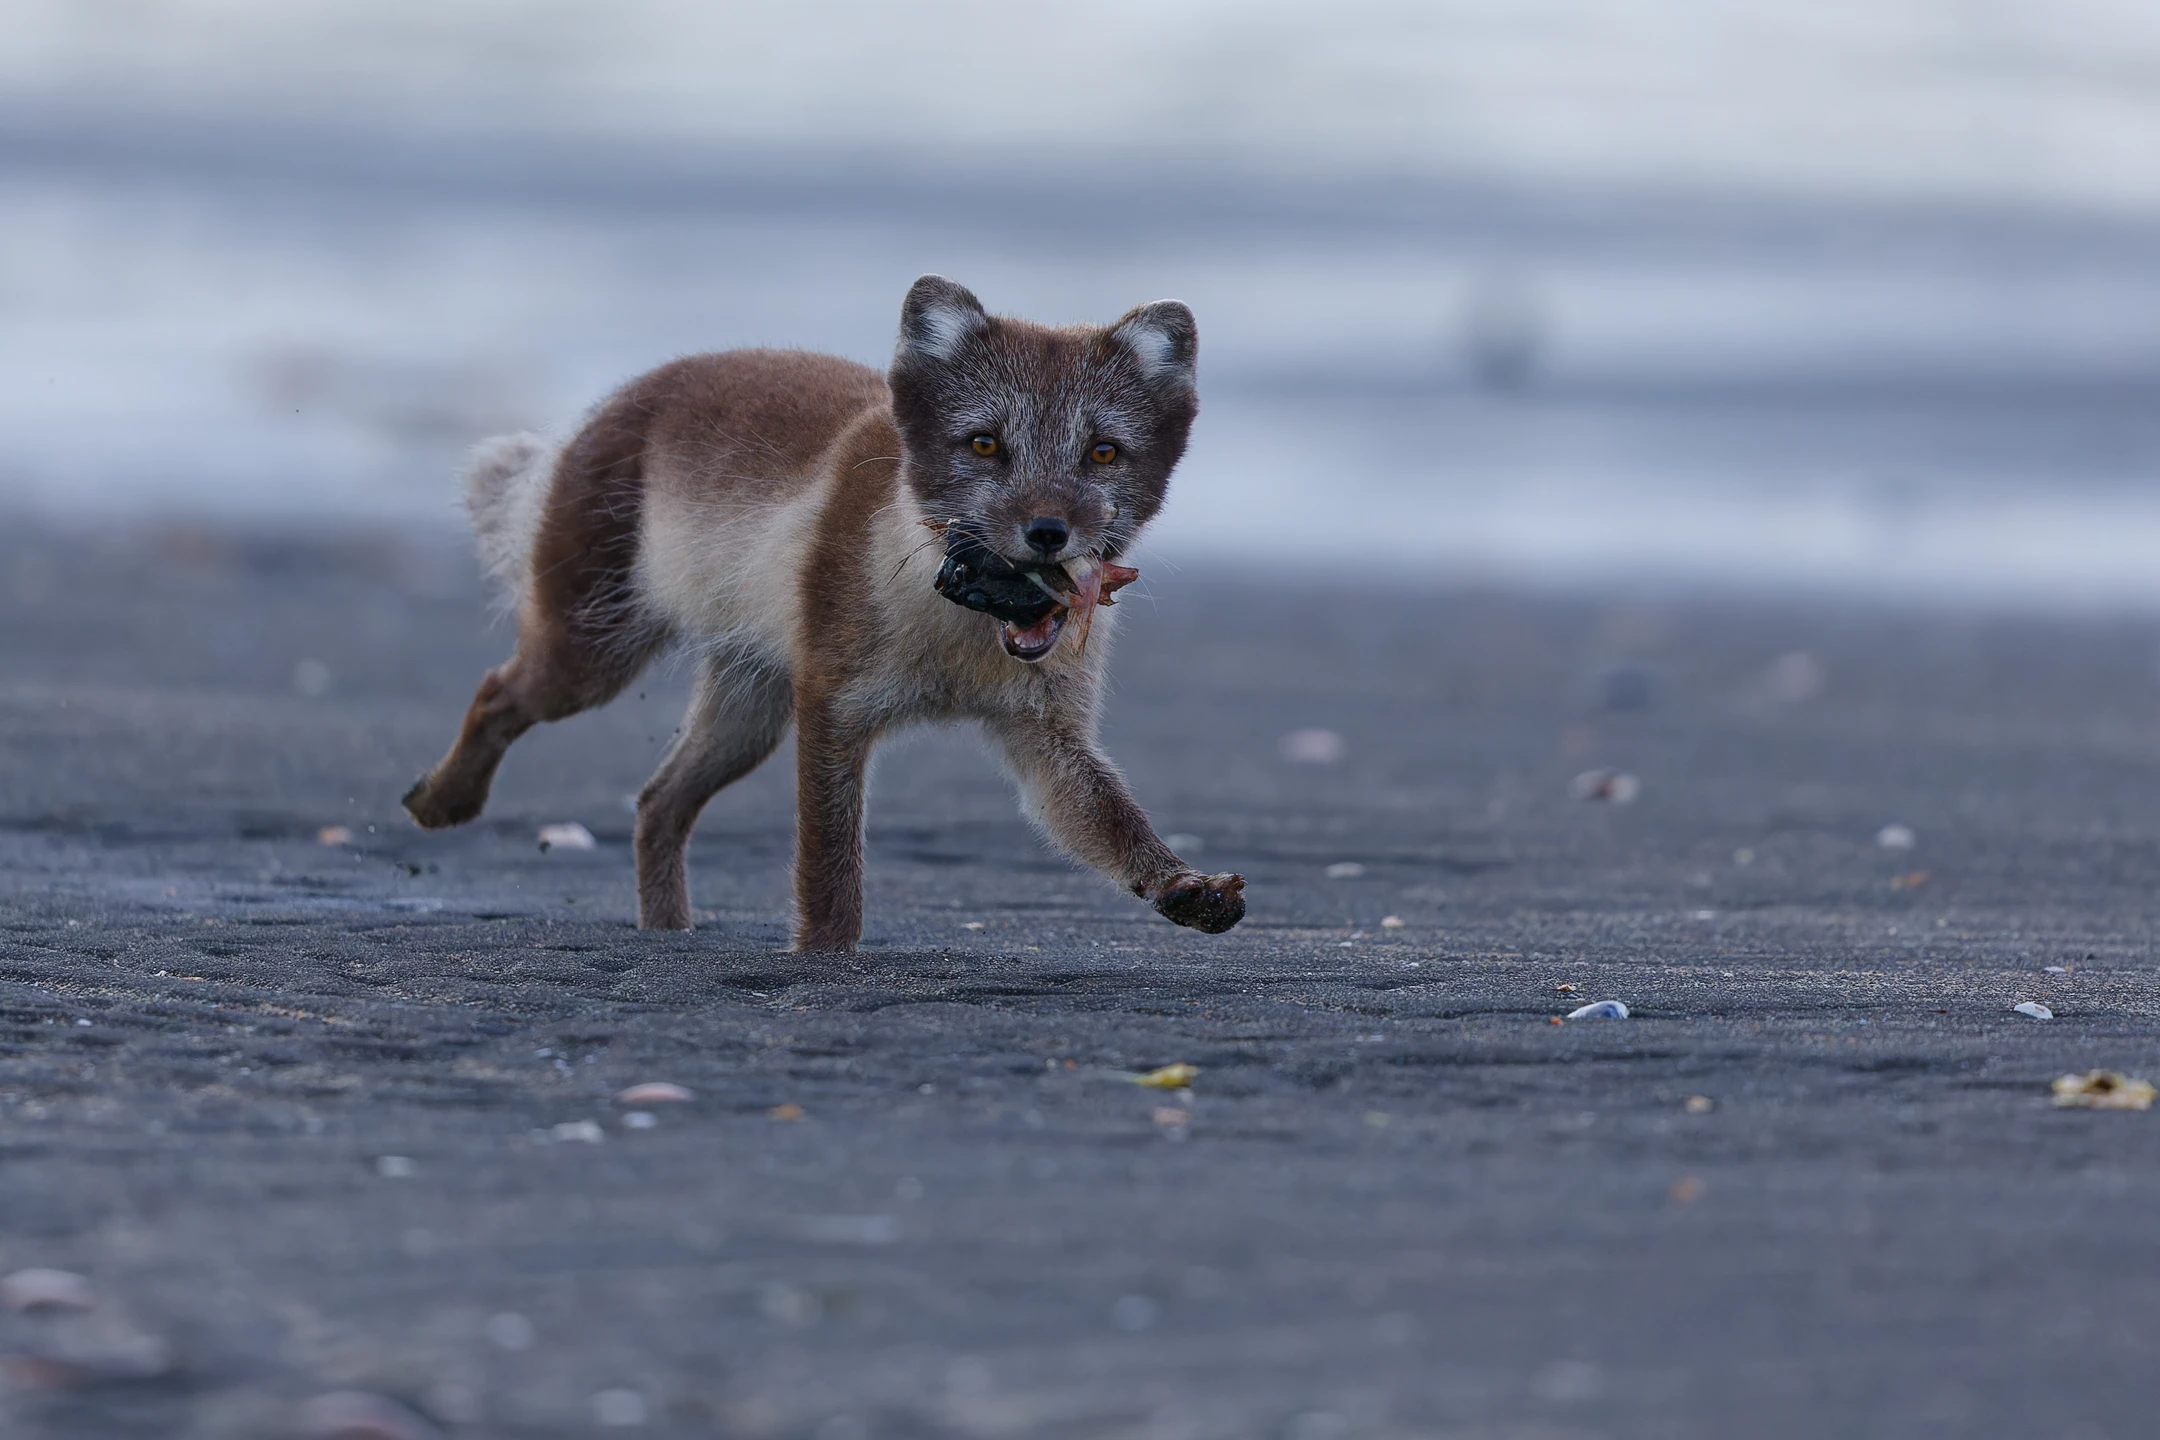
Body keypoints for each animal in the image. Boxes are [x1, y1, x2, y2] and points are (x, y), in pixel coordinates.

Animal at [401, 275, 1246, 951]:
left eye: (1103, 453)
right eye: (984, 444)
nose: (1048, 532)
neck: (955, 641)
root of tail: (612, 401)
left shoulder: (1045, 735)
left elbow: (1111, 819)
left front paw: (1181, 885)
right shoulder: (833, 706)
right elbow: (831, 874)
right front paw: (824, 959)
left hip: (749, 712)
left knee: (655, 804)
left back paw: (668, 932)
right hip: (594, 655)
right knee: (499, 692)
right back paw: (444, 801)